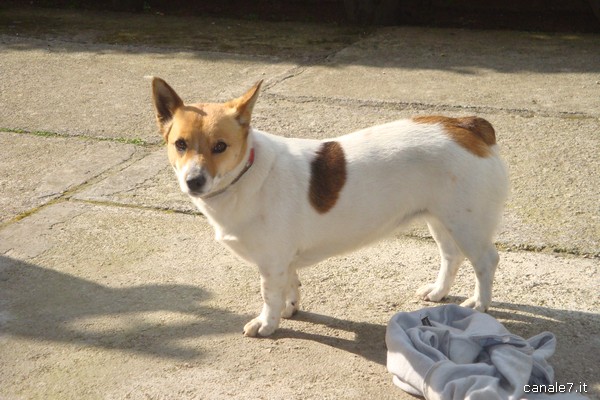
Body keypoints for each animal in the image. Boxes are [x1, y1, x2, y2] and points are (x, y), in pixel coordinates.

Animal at [152, 76, 508, 336]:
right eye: (180, 144)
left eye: (220, 146)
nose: (194, 181)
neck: (247, 174)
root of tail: (465, 125)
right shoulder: (285, 261)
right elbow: (291, 284)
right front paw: (290, 307)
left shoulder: (271, 263)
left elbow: (269, 295)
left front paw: (267, 324)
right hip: (442, 219)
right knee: (451, 256)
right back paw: (438, 292)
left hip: (467, 224)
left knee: (485, 262)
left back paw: (479, 303)